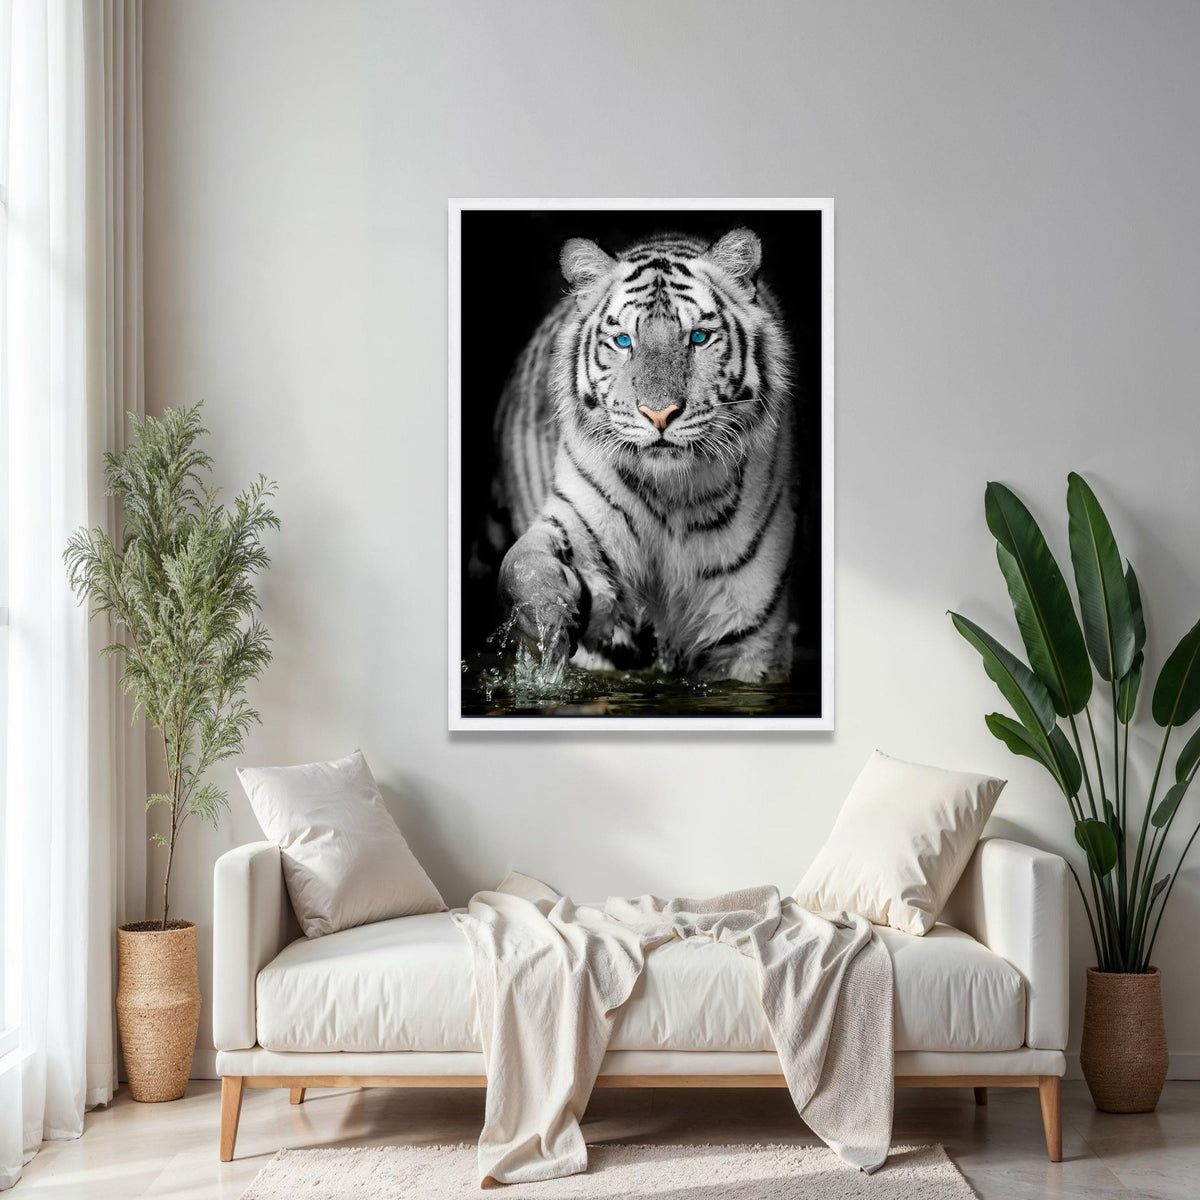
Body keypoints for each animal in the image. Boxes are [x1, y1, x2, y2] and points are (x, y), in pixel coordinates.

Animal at [488, 227, 798, 684]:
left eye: (698, 337)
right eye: (623, 341)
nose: (659, 414)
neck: (672, 495)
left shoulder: (750, 635)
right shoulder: (579, 523)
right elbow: (522, 564)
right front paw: (547, 621)